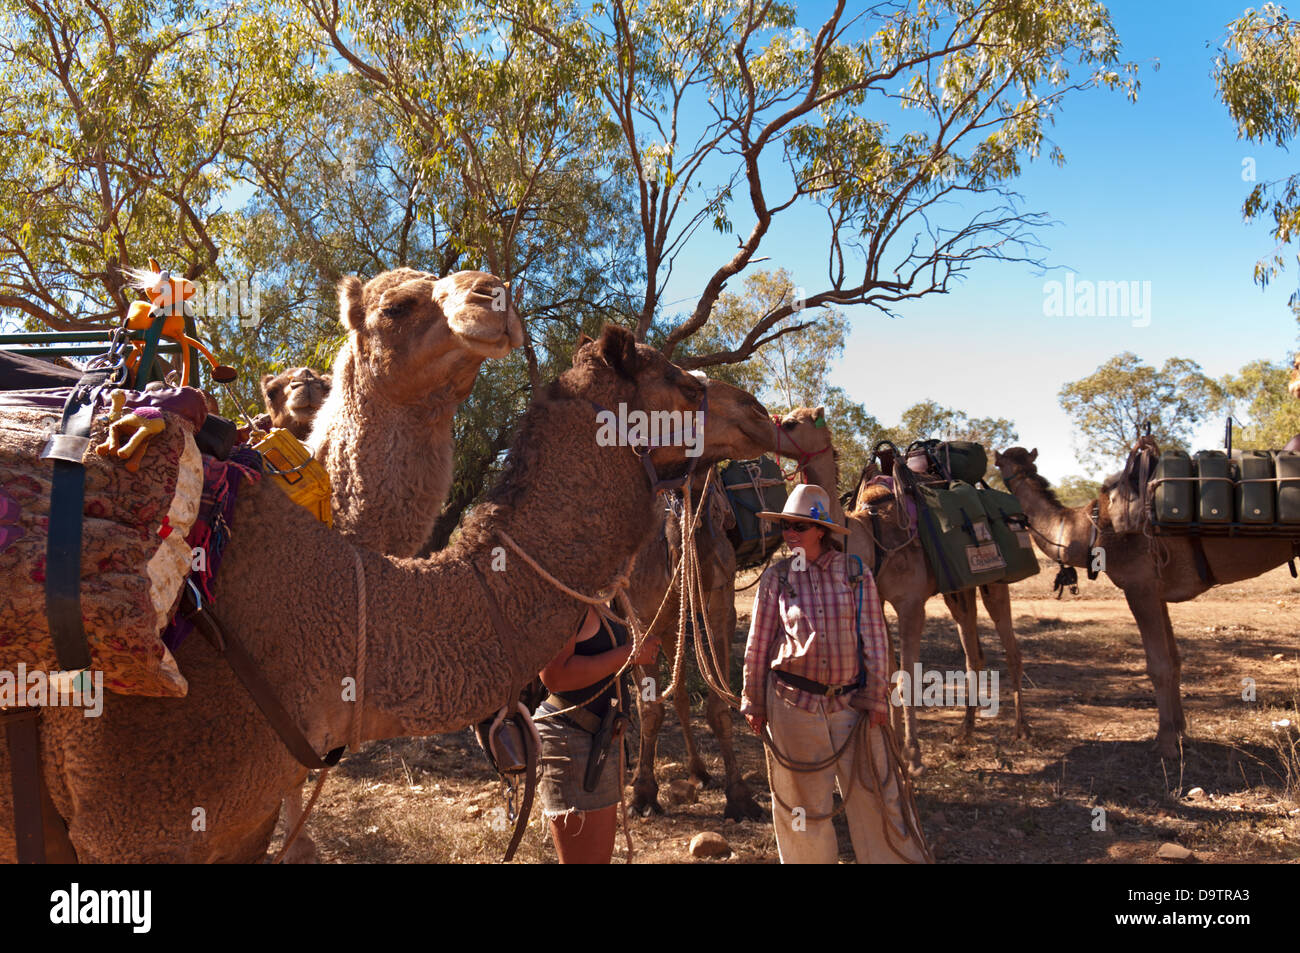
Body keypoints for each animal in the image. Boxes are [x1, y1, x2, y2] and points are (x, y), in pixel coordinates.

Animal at [769, 405, 1024, 769]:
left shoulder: (910, 603)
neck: (867, 534)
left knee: (1011, 647)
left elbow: (905, 676)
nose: (764, 425)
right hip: (958, 589)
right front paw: (889, 748)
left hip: (994, 581)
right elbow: (886, 672)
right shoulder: (878, 600)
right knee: (973, 652)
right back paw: (964, 734)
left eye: (791, 423)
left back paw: (1021, 731)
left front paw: (913, 757)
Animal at [993, 447, 1300, 759]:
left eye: (998, 464)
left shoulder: (1138, 587)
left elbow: (1158, 665)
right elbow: (1174, 661)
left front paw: (1165, 743)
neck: (1090, 530)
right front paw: (1180, 733)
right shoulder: (1157, 591)